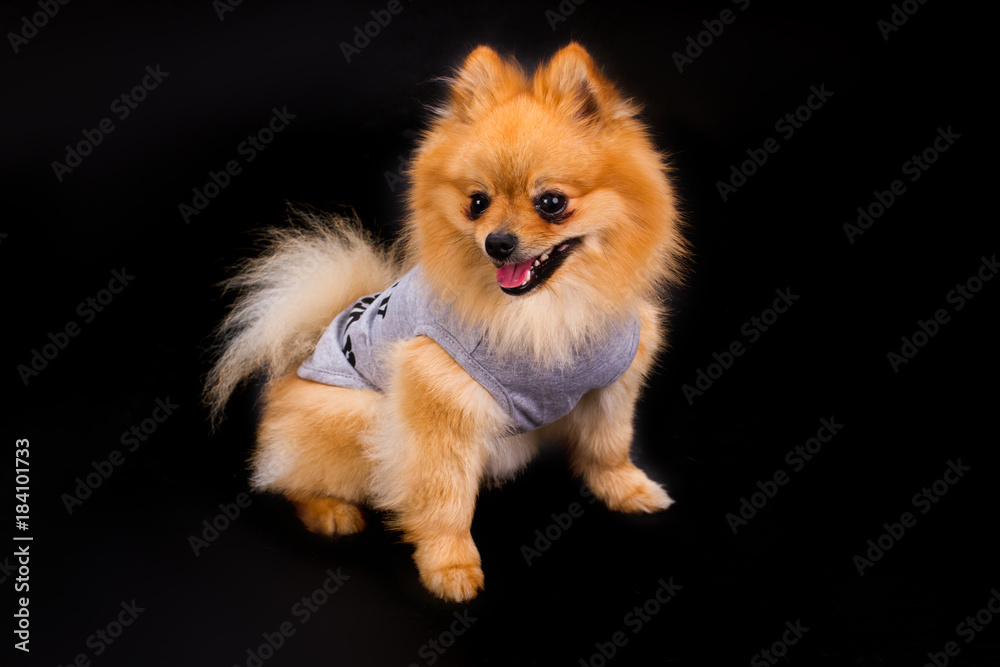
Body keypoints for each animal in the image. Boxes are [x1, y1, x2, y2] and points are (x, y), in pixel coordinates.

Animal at [203, 44, 688, 604]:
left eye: (551, 203)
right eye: (477, 203)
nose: (497, 242)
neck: (547, 310)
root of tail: (298, 363)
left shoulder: (610, 383)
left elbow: (608, 445)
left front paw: (628, 489)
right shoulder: (439, 399)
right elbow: (443, 497)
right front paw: (450, 566)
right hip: (357, 417)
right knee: (295, 478)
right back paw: (329, 510)